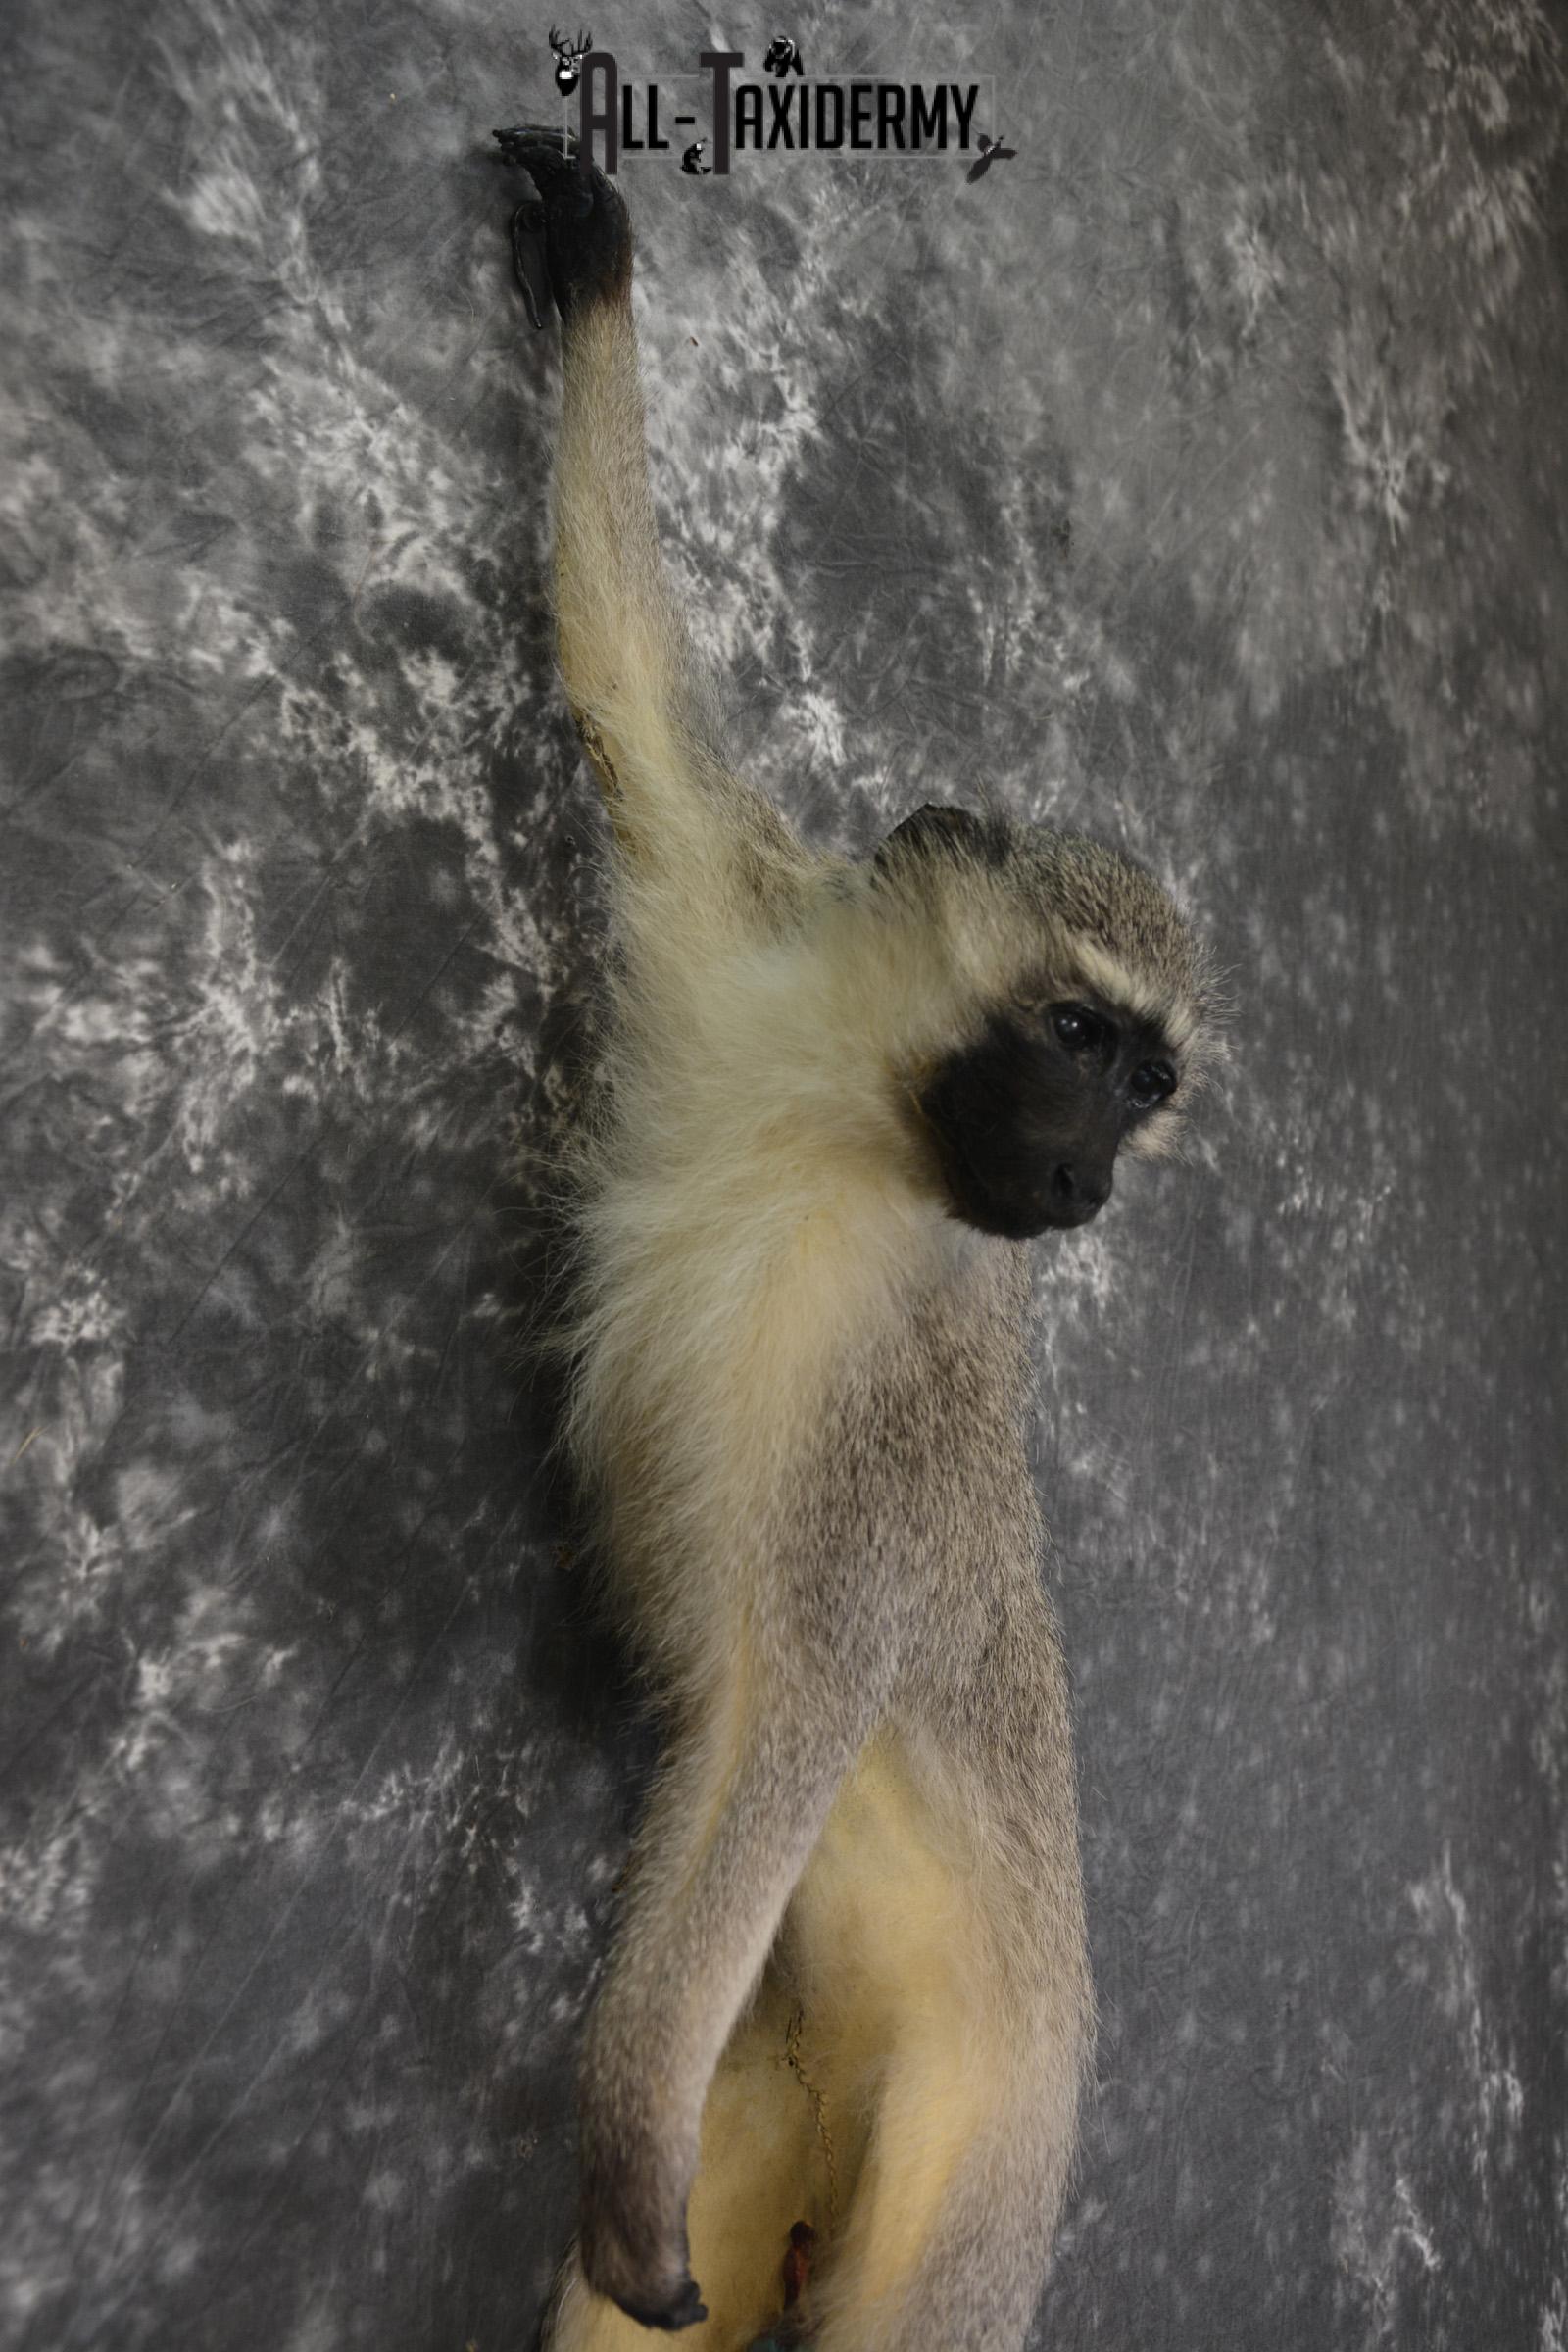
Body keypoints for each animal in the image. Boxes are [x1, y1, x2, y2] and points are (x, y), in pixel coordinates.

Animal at [489, 129, 1216, 2352]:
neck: (838, 1125)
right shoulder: (737, 906)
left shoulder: (874, 1436)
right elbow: (622, 673)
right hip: (790, 2092)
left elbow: (785, 1710)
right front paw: (595, 272)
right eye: (1076, 1040)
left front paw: (618, 2124)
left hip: (973, 2171)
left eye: (1149, 1085)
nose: (1086, 1181)